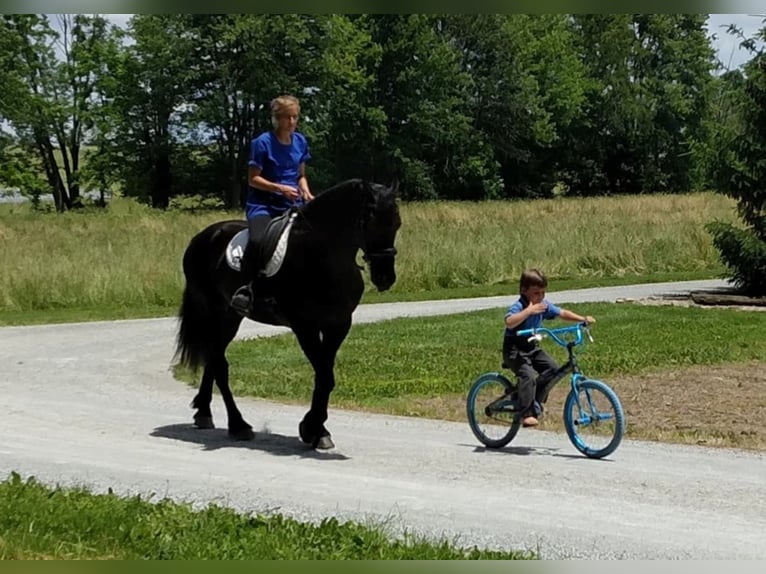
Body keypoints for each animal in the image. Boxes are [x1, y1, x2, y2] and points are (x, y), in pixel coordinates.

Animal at [174, 179, 402, 450]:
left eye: (396, 223)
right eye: (369, 221)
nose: (385, 278)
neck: (322, 255)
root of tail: (202, 237)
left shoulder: (338, 325)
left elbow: (325, 375)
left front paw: (317, 430)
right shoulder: (305, 326)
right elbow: (325, 376)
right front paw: (312, 429)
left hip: (230, 317)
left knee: (214, 358)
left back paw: (203, 413)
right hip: (214, 313)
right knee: (219, 364)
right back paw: (238, 425)